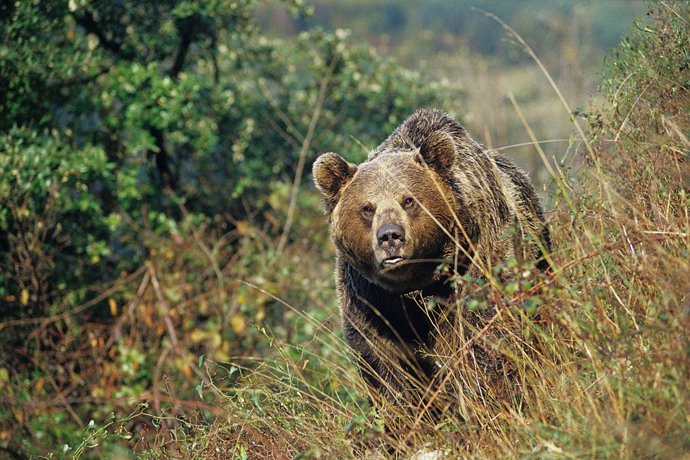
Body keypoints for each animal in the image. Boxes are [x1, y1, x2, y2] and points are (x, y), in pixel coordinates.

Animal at [312, 109, 551, 423]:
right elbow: (385, 364)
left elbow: (479, 342)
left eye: (409, 200)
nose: (390, 236)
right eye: (367, 208)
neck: (415, 283)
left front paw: (476, 401)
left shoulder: (476, 267)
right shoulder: (369, 301)